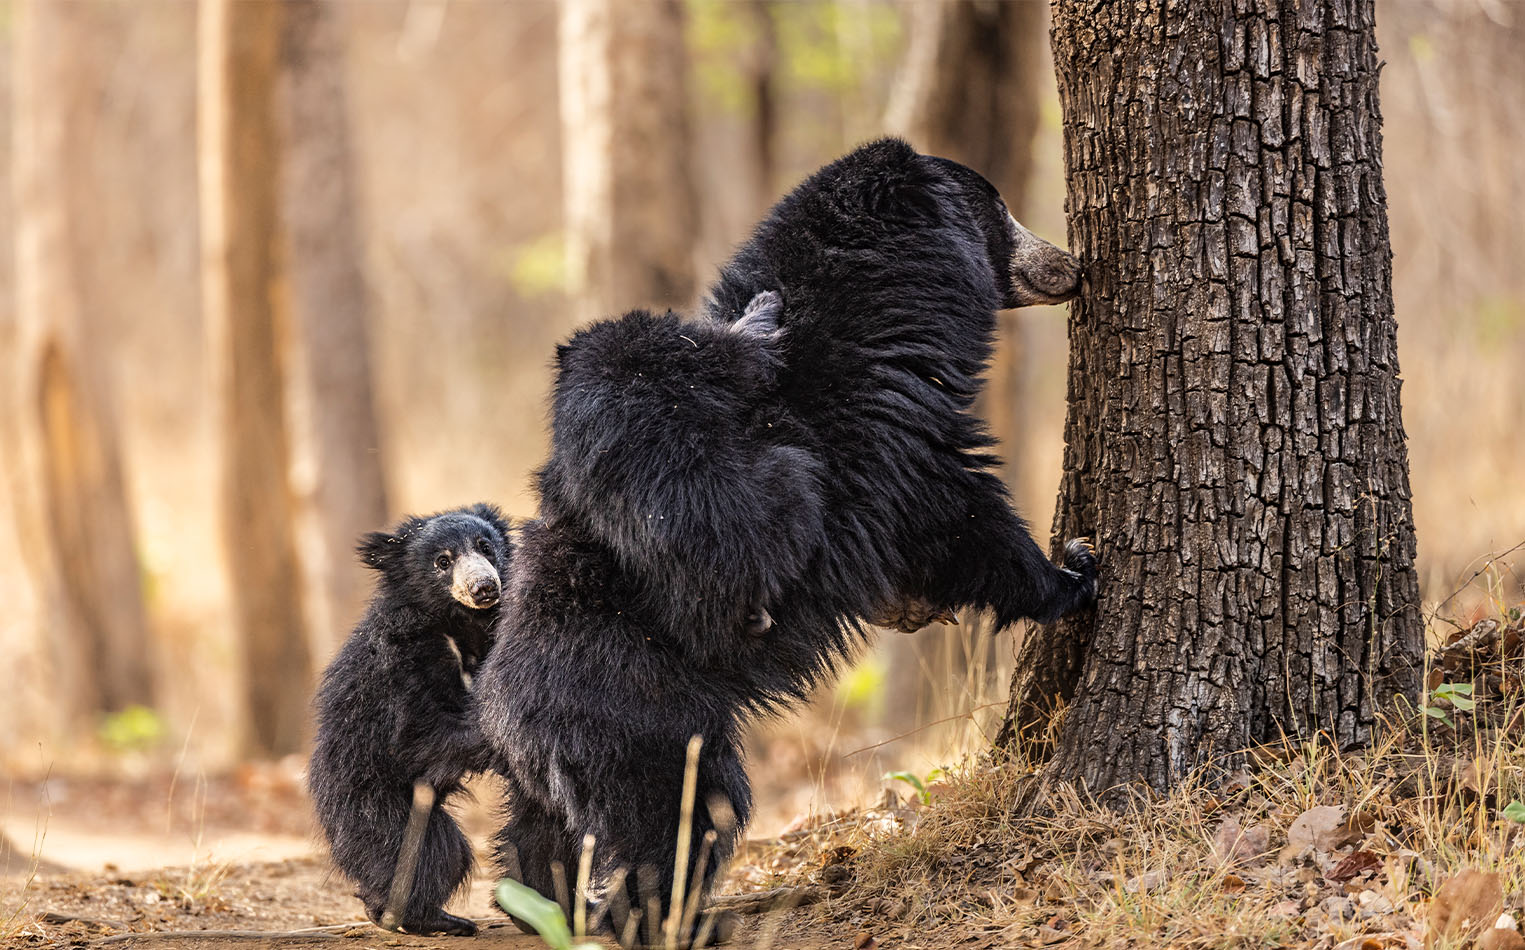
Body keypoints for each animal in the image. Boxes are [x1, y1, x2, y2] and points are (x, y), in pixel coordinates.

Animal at [475, 137, 1098, 945]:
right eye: (1000, 210)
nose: (1070, 265)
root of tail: (505, 712)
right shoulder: (894, 428)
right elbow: (960, 513)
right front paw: (1074, 571)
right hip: (646, 717)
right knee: (680, 818)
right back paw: (668, 917)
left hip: (552, 763)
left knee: (541, 835)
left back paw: (540, 900)